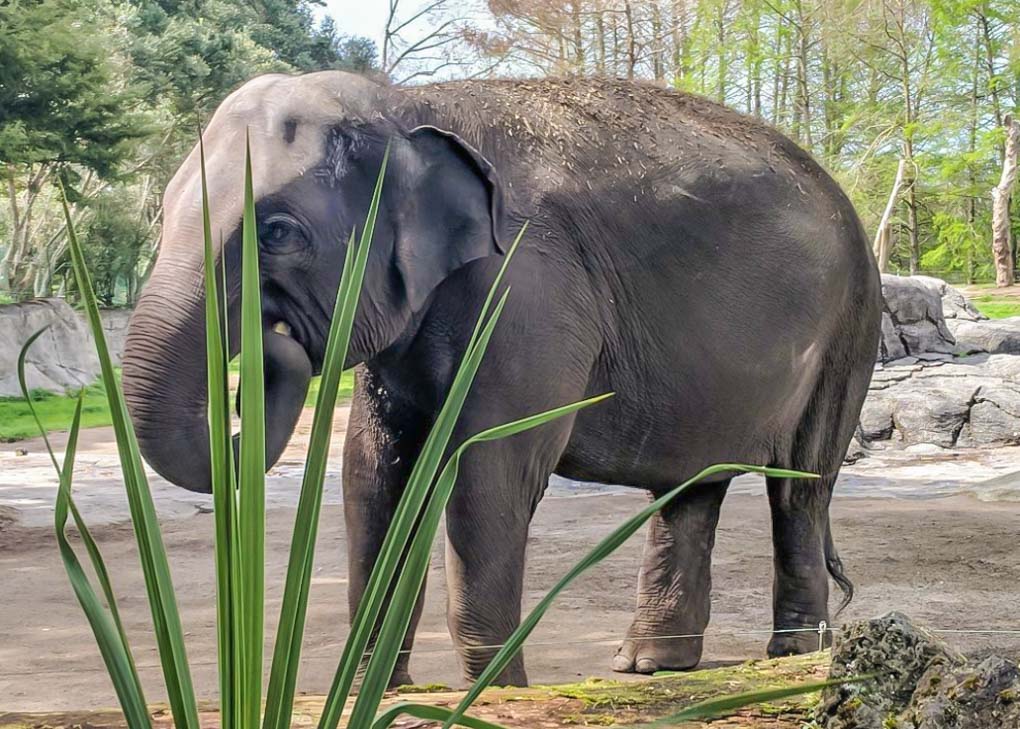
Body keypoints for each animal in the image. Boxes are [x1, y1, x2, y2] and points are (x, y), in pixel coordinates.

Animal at [121, 72, 882, 687]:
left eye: (277, 232)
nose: (269, 353)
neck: (407, 103)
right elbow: (374, 472)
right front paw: (376, 687)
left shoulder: (526, 287)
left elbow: (488, 470)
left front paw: (491, 692)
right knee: (694, 483)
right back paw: (650, 665)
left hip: (850, 325)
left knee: (803, 485)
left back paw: (794, 654)